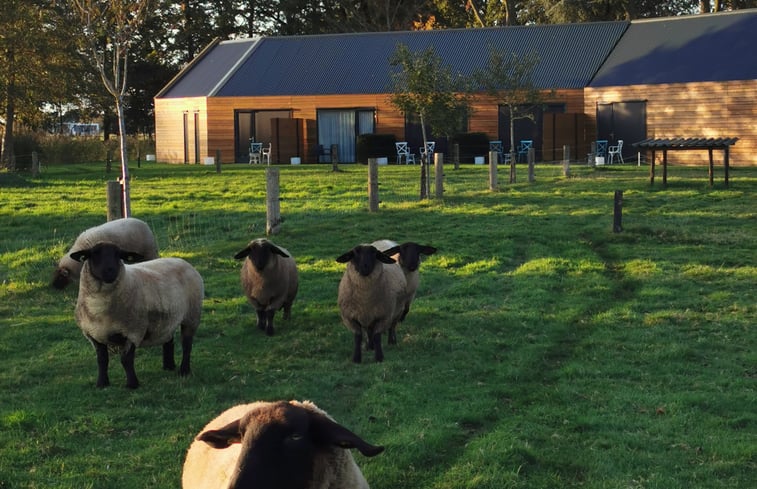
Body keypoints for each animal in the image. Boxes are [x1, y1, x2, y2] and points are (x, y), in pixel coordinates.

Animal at [68, 241, 202, 388]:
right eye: (94, 253)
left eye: (118, 255)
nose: (110, 270)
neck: (99, 310)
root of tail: (181, 260)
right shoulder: (93, 335)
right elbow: (102, 360)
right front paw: (102, 383)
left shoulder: (133, 331)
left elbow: (126, 360)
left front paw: (132, 384)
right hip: (166, 319)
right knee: (168, 340)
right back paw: (168, 366)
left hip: (192, 316)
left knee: (187, 345)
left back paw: (184, 370)